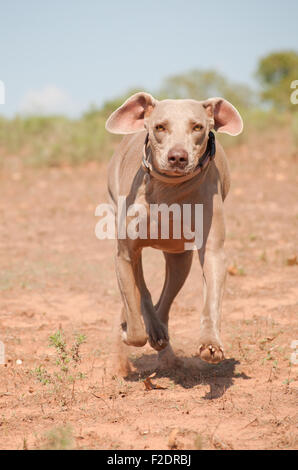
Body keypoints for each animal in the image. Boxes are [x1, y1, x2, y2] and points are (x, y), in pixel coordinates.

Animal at [105, 92, 242, 368]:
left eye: (197, 127)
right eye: (160, 127)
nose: (177, 157)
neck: (169, 189)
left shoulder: (213, 251)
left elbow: (211, 299)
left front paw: (211, 343)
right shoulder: (124, 254)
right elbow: (135, 316)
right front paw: (130, 330)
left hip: (180, 258)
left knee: (165, 300)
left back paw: (162, 339)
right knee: (143, 294)